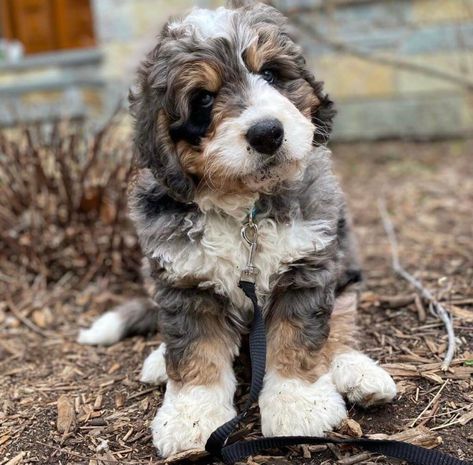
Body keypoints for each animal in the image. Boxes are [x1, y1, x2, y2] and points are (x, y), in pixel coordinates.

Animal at [79, 0, 396, 456]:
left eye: (270, 74)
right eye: (203, 98)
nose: (267, 133)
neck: (245, 209)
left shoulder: (306, 269)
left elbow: (299, 339)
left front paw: (299, 404)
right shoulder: (185, 281)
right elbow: (194, 349)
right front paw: (191, 417)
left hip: (343, 265)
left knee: (342, 323)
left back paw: (358, 371)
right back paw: (158, 361)